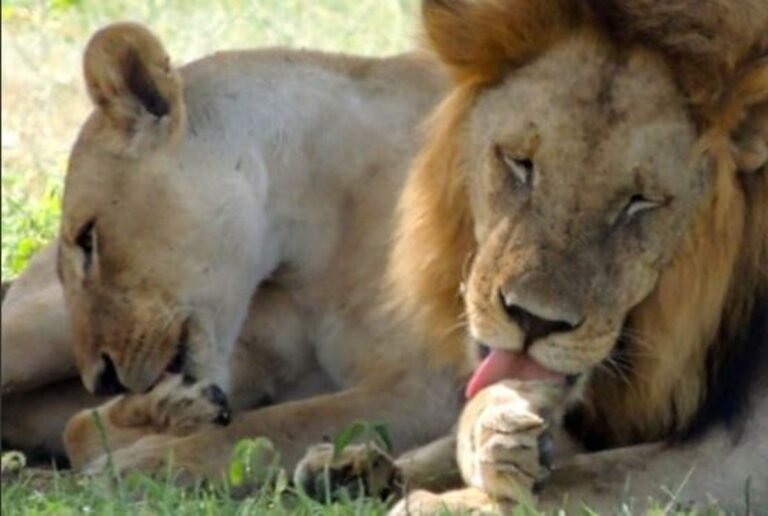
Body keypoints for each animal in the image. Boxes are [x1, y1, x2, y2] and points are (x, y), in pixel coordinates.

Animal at [1, 21, 465, 475]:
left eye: (88, 237)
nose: (102, 380)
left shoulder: (425, 388)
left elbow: (262, 431)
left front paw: (140, 463)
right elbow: (85, 428)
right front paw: (169, 412)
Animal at [295, 0, 768, 512]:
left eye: (640, 202)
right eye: (520, 163)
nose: (533, 321)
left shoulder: (740, 455)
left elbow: (592, 478)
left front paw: (437, 500)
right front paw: (357, 465)